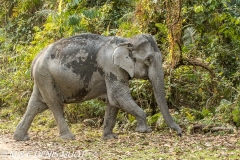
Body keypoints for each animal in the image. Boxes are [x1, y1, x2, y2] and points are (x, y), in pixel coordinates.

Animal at [13, 33, 181, 141]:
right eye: (148, 59)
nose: (180, 133)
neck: (126, 40)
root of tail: (35, 58)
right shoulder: (112, 67)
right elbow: (118, 96)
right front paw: (144, 131)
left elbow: (113, 101)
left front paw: (110, 138)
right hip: (45, 76)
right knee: (54, 104)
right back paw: (69, 137)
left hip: (43, 77)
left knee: (37, 104)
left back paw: (21, 137)